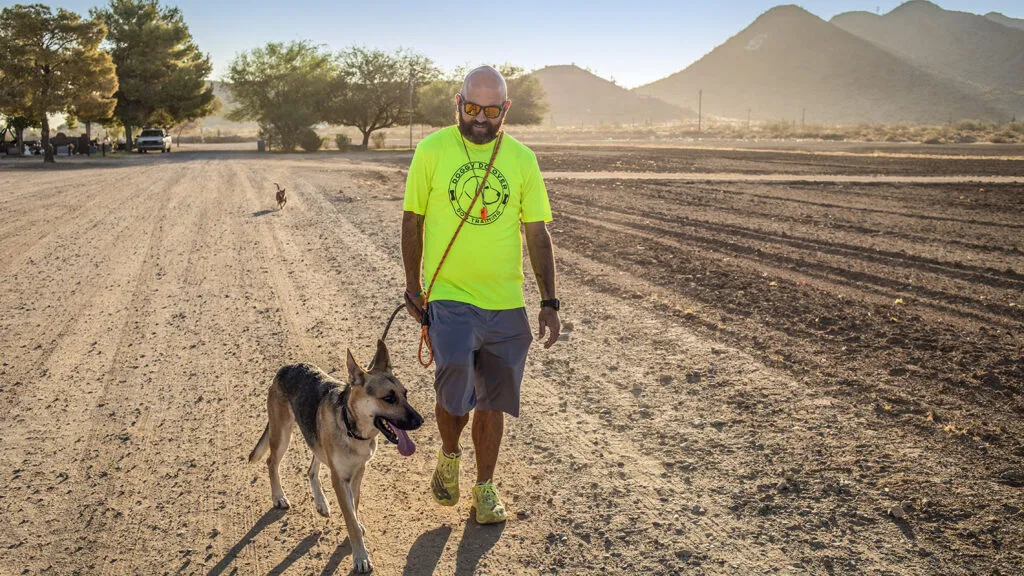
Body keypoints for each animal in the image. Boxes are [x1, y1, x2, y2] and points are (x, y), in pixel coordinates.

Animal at [248, 338, 423, 569]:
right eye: (388, 398)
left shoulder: (358, 472)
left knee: (311, 469)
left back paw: (321, 502)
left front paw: (356, 526)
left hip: (316, 439)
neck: (353, 428)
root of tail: (287, 367)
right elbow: (350, 518)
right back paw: (279, 496)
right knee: (271, 462)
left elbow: (354, 506)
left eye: (405, 394)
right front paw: (360, 556)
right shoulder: (339, 479)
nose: (420, 421)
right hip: (283, 434)